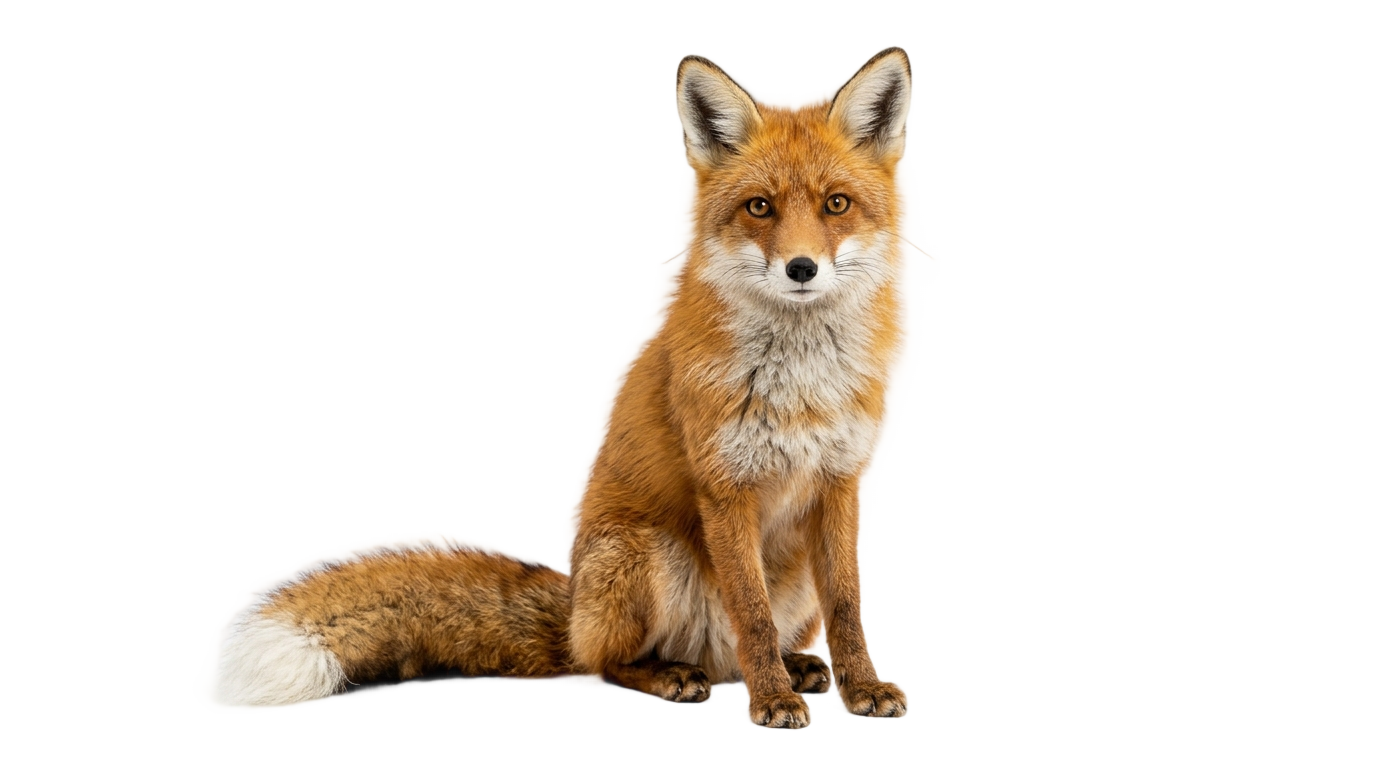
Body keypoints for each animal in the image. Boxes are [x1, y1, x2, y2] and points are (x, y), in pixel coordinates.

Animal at [220, 47, 913, 728]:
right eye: (760, 207)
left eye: (837, 205)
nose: (802, 268)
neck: (802, 387)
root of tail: (574, 605)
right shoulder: (726, 489)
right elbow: (753, 615)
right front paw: (772, 701)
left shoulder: (839, 483)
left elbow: (847, 609)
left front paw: (861, 685)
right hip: (644, 555)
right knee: (609, 664)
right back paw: (678, 676)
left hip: (786, 582)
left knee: (735, 648)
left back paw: (797, 666)